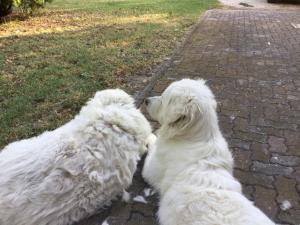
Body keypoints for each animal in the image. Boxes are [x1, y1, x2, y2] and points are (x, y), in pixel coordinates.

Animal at [142, 79, 276, 225]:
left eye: (163, 98)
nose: (146, 100)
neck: (195, 139)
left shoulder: (151, 170)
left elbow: (152, 143)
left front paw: (148, 136)